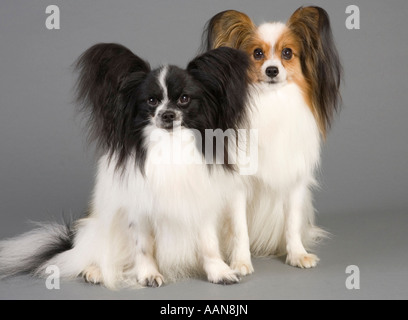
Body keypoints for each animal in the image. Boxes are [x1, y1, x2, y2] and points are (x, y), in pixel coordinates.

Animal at [0, 43, 255, 288]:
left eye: (184, 99)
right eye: (151, 101)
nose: (167, 114)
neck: (169, 146)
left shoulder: (199, 204)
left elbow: (208, 243)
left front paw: (219, 271)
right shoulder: (138, 209)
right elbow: (143, 246)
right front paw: (148, 275)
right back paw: (95, 272)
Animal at [203, 6, 342, 268]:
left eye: (287, 53)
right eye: (257, 54)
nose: (272, 70)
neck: (272, 100)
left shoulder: (294, 181)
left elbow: (292, 223)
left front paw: (297, 255)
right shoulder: (238, 185)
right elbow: (240, 228)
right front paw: (240, 262)